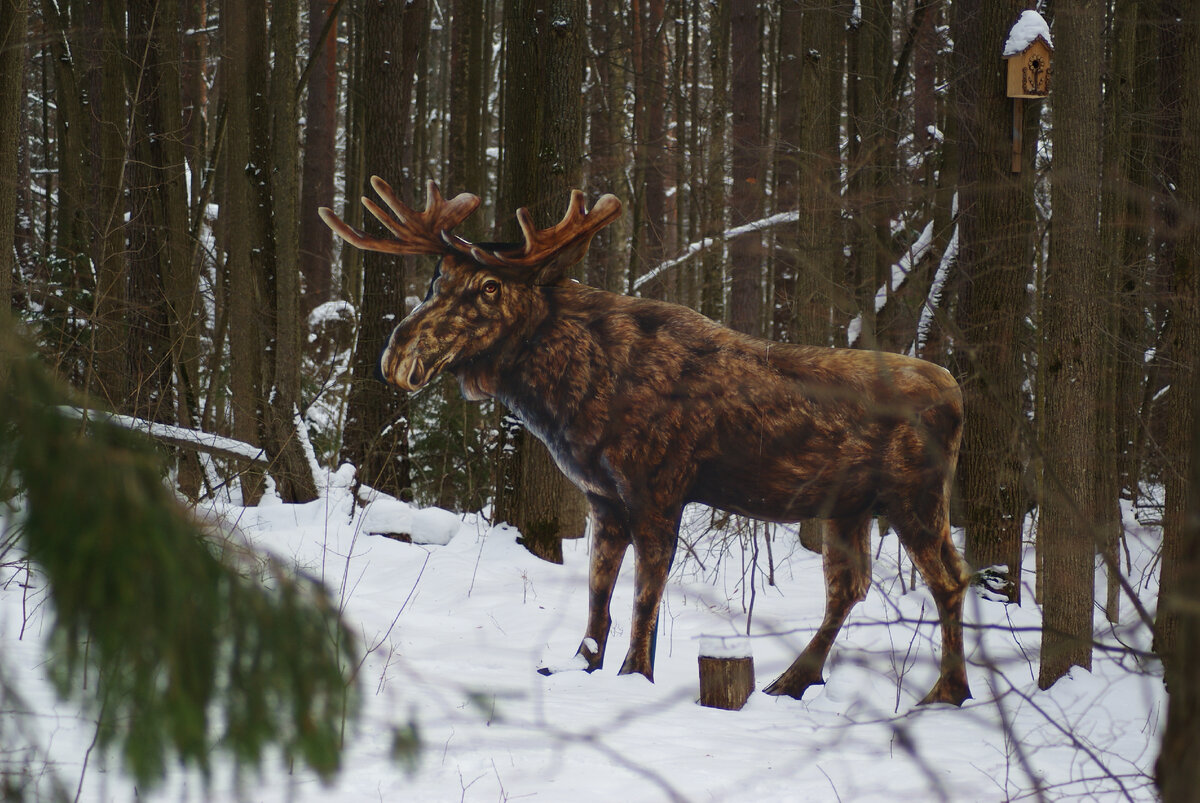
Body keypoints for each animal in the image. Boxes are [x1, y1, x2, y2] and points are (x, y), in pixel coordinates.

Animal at [321, 178, 974, 705]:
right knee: (849, 588)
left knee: (949, 578)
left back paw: (946, 692)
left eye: (488, 286)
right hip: (849, 508)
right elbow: (598, 595)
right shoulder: (603, 496)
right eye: (438, 278)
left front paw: (634, 676)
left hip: (915, 499)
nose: (398, 355)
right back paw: (790, 682)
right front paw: (581, 665)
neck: (567, 399)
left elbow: (643, 598)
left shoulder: (658, 490)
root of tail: (958, 397)